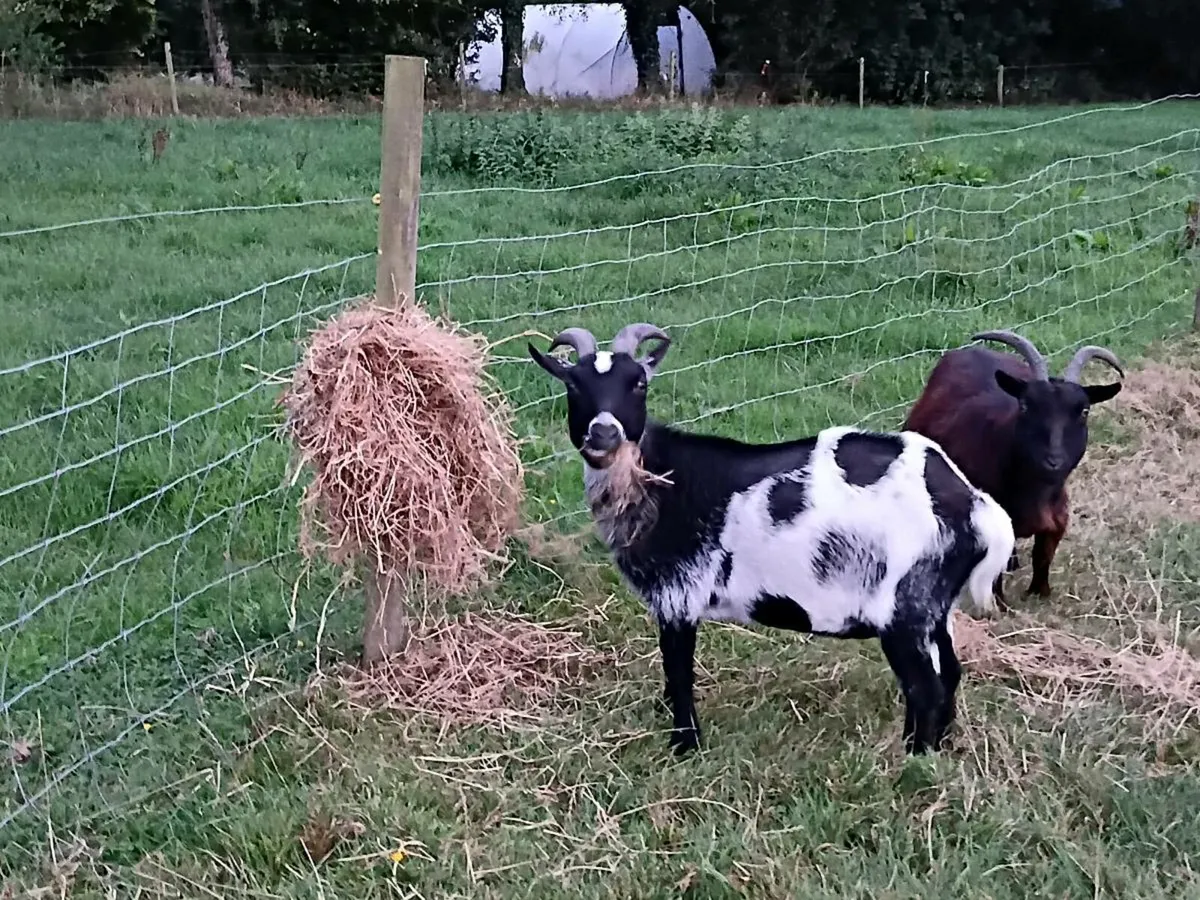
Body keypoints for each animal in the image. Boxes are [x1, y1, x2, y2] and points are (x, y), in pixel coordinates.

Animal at [529, 323, 1015, 757]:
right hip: (935, 605)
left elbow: (678, 674)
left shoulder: (679, 597)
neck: (659, 479)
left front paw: (685, 746)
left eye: (639, 383)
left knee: (924, 686)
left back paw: (912, 761)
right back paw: (937, 750)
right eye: (573, 385)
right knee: (948, 673)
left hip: (903, 607)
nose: (604, 432)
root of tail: (972, 503)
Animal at [902, 330, 1123, 603]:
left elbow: (1042, 558)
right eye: (1025, 405)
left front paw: (1040, 594)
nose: (1053, 460)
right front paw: (1000, 604)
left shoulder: (1057, 521)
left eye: (1084, 411)